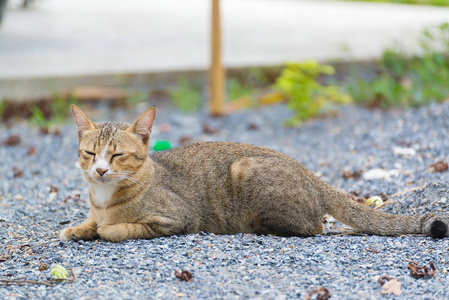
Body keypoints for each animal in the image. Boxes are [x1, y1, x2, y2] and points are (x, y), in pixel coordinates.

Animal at [60, 105, 448, 241]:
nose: (100, 170)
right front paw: (80, 228)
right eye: (90, 153)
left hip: (246, 169)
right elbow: (88, 223)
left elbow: (120, 228)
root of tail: (307, 172)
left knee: (315, 227)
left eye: (118, 156)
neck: (104, 199)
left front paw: (105, 228)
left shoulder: (178, 219)